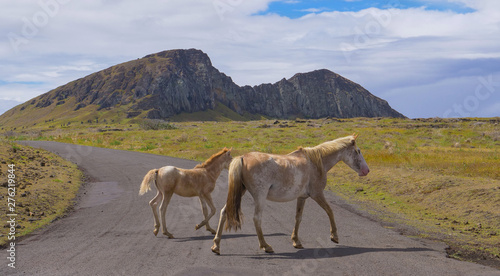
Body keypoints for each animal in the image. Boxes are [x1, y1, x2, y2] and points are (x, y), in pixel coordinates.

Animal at [211, 134, 368, 254]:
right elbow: (330, 211)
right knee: (257, 219)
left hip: (241, 192)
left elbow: (298, 218)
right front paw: (334, 236)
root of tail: (243, 157)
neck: (316, 163)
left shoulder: (302, 197)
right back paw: (265, 246)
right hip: (260, 197)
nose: (366, 170)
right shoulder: (317, 194)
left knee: (224, 212)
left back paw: (216, 246)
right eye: (358, 151)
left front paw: (296, 241)